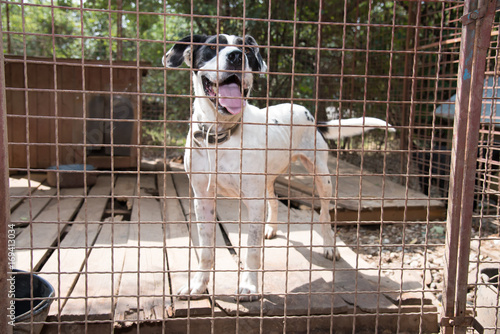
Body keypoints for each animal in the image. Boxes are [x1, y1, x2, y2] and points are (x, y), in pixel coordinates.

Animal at [164, 34, 394, 302]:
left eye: (246, 50)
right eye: (212, 46)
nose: (236, 56)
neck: (222, 135)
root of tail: (309, 113)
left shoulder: (253, 202)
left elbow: (252, 250)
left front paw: (249, 286)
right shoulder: (203, 199)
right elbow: (206, 250)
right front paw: (198, 285)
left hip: (321, 176)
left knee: (325, 215)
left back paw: (329, 246)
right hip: (267, 180)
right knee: (274, 201)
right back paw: (271, 229)